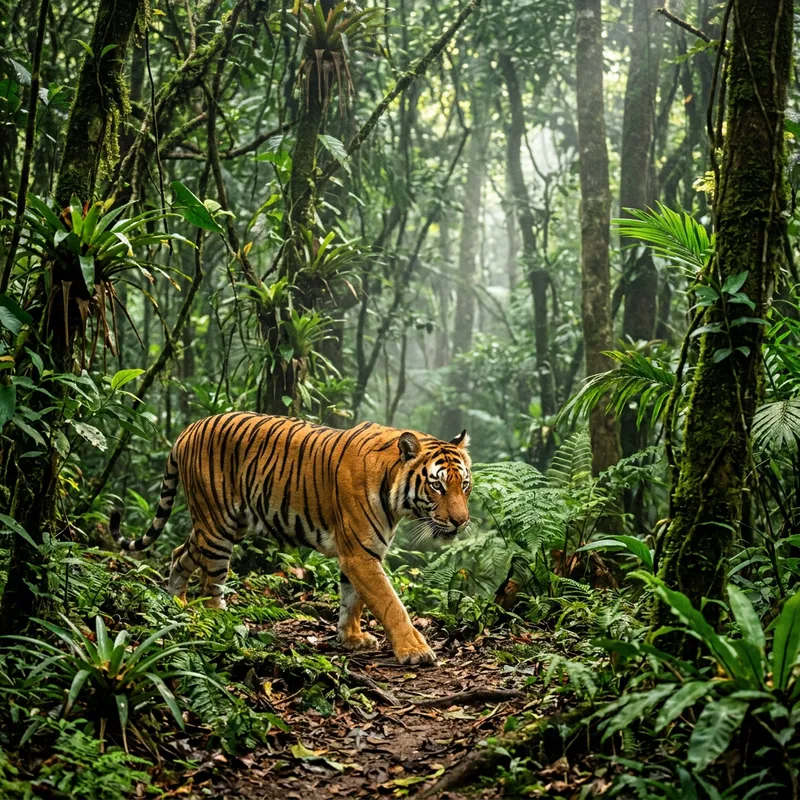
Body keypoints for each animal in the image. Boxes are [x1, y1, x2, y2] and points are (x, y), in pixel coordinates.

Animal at [111, 412, 472, 665]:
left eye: (464, 485)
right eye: (437, 485)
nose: (461, 521)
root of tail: (188, 429)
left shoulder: (362, 552)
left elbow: (352, 600)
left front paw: (352, 638)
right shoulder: (360, 553)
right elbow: (389, 603)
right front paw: (414, 649)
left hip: (223, 525)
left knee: (179, 552)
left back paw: (177, 605)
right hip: (218, 526)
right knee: (211, 583)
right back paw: (217, 619)